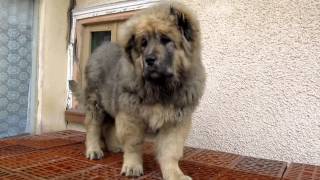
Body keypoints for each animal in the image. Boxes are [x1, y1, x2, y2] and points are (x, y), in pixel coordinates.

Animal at [70, 1, 205, 180]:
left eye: (166, 40)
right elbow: (133, 145)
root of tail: (100, 48)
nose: (149, 60)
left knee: (108, 126)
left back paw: (114, 146)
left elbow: (170, 151)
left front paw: (174, 174)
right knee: (93, 126)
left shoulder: (175, 120)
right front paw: (132, 166)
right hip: (96, 103)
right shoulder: (131, 115)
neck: (160, 87)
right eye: (144, 43)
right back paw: (94, 150)